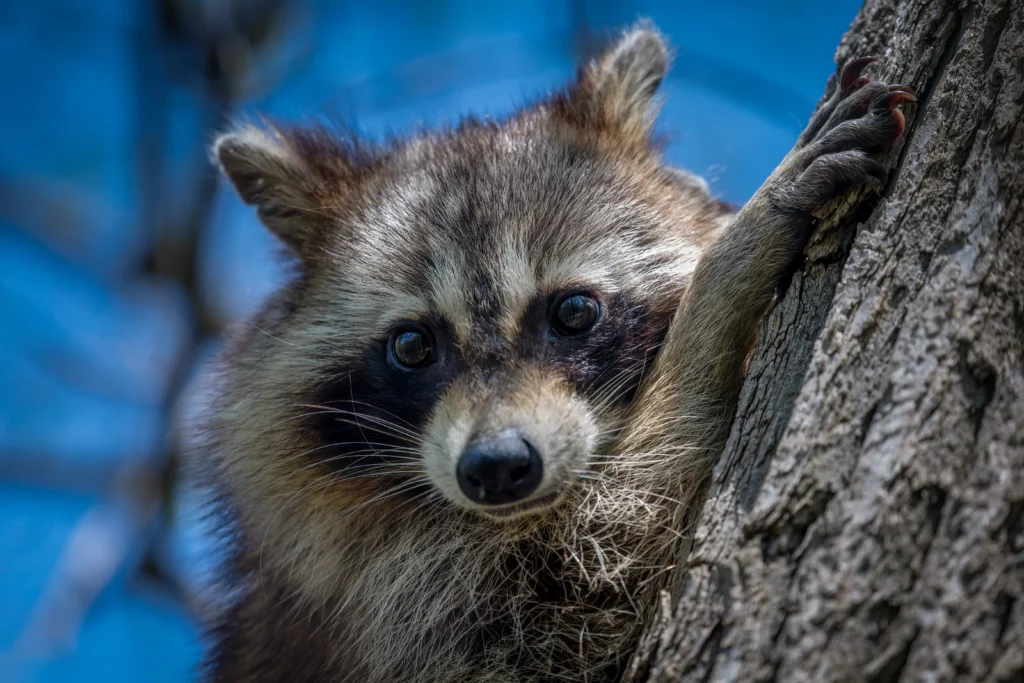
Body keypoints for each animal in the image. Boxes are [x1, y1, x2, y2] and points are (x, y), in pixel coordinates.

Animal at [192, 25, 913, 683]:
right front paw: (727, 276)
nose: (496, 466)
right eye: (412, 345)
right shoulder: (397, 607)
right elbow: (595, 570)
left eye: (573, 312)